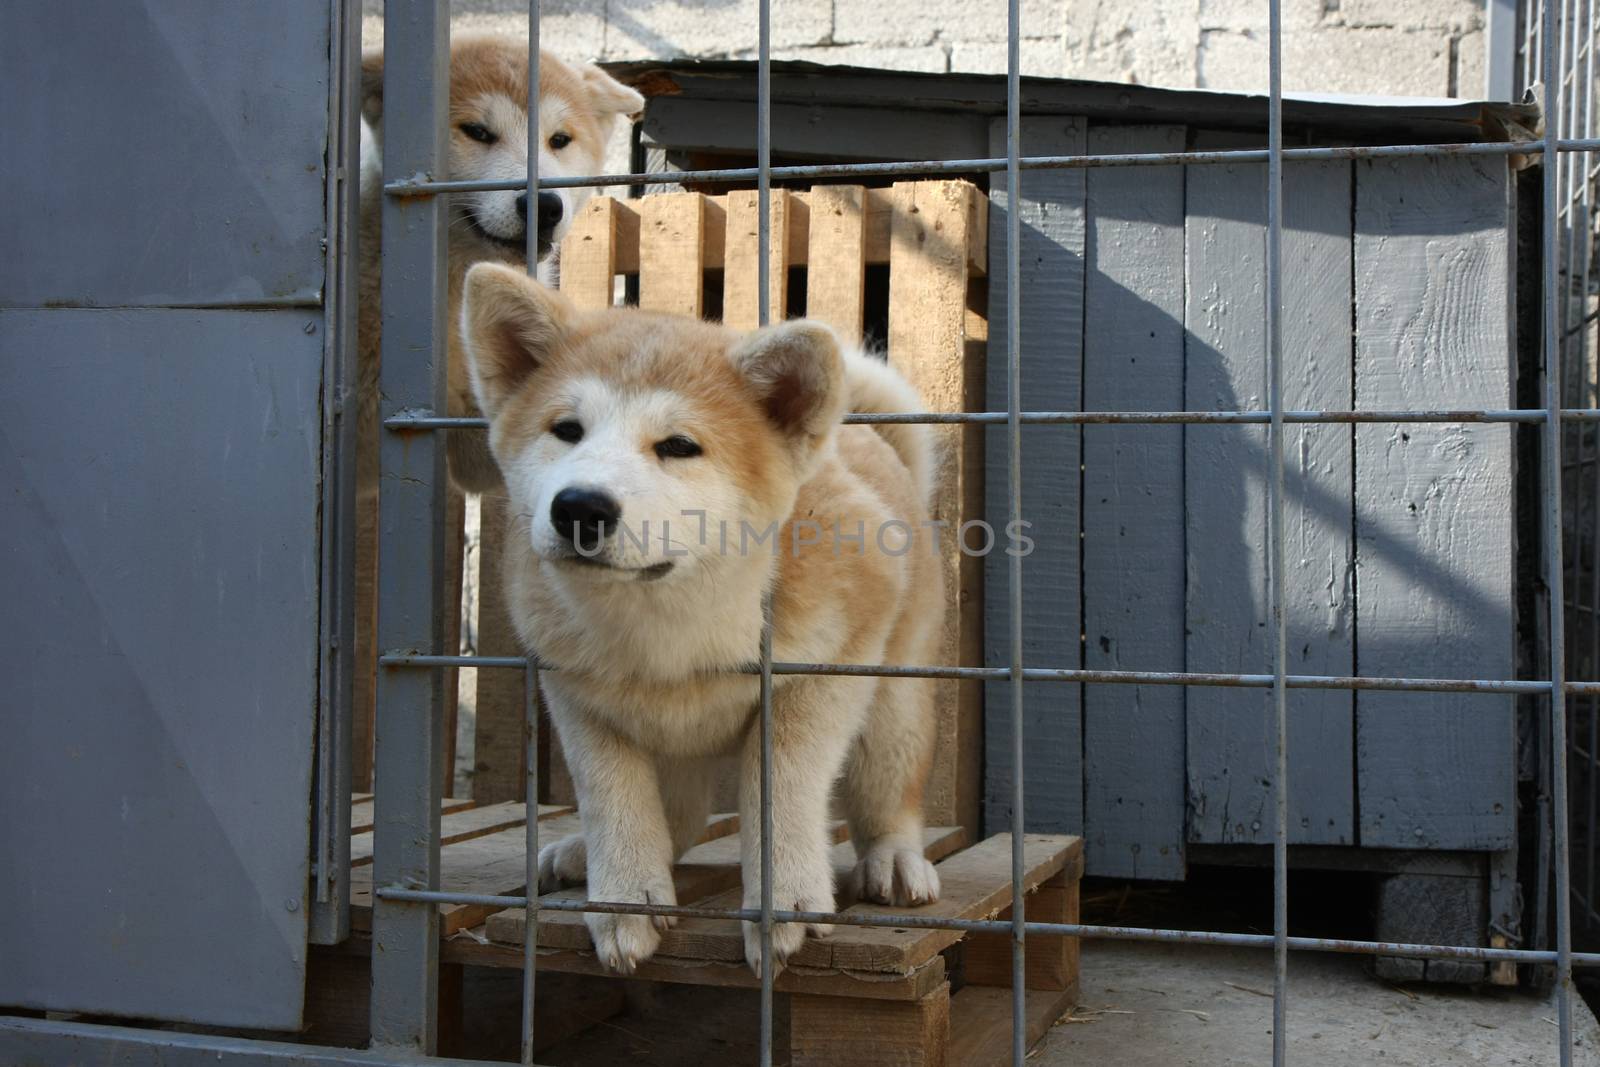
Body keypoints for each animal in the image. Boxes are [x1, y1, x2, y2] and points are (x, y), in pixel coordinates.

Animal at [457, 260, 940, 979]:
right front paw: (624, 897)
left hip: (893, 701)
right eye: (566, 429)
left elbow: (783, 786)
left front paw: (783, 896)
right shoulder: (576, 691)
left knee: (888, 790)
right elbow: (614, 798)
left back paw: (895, 857)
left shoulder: (823, 674)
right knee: (679, 814)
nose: (579, 507)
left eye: (679, 446)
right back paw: (585, 856)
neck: (671, 623)